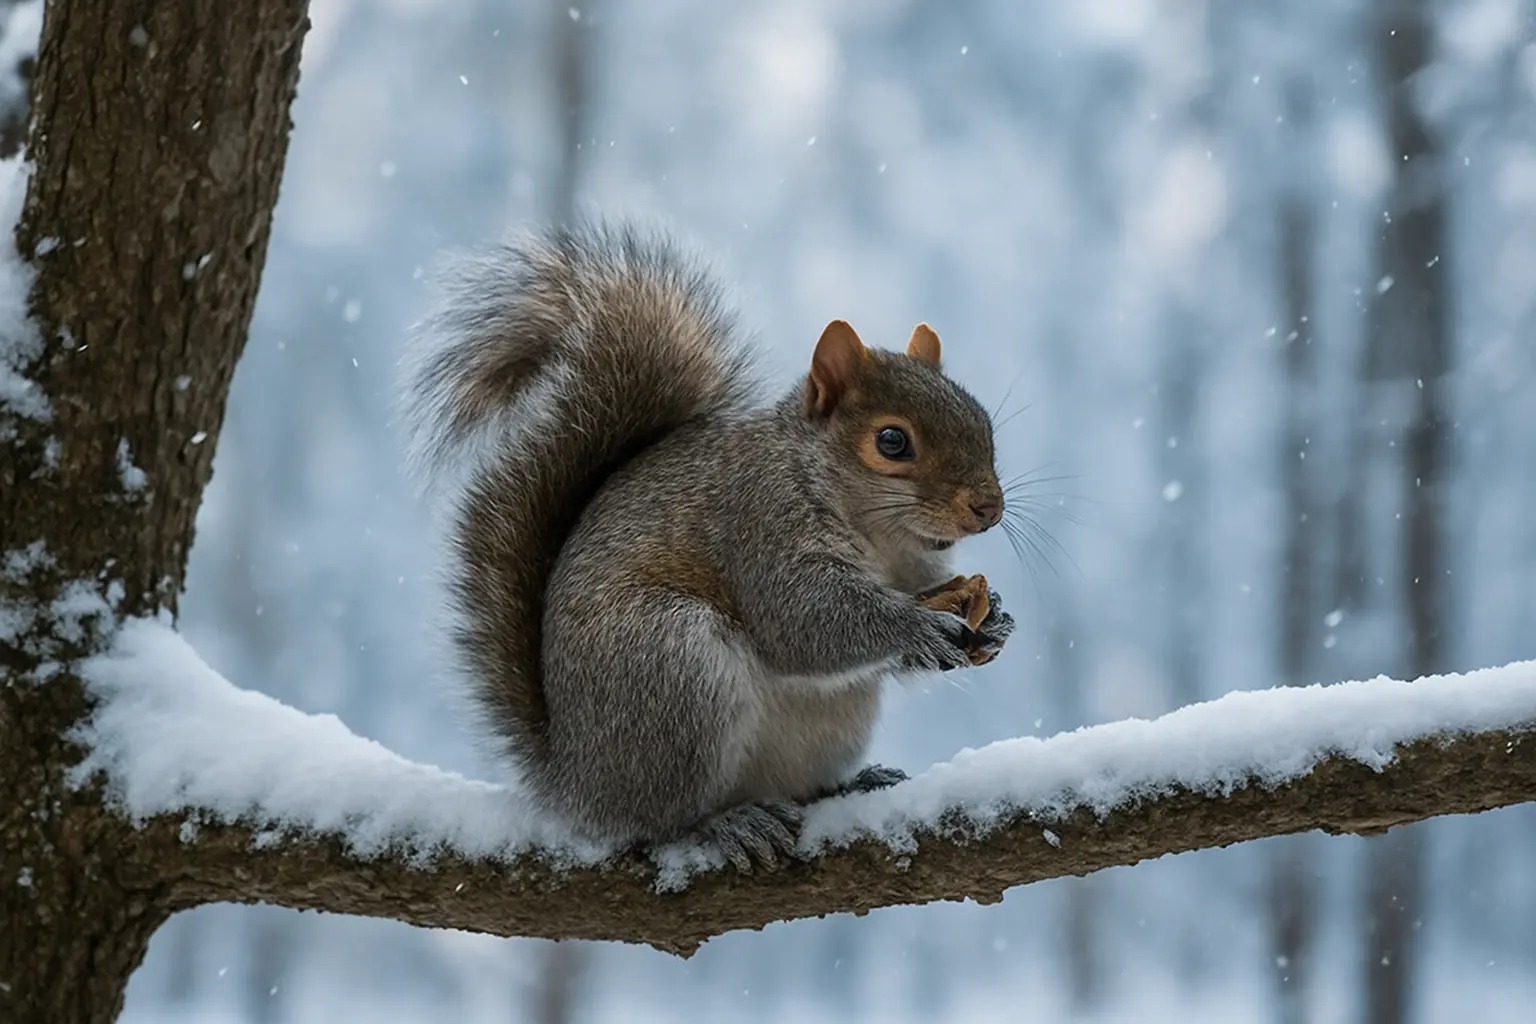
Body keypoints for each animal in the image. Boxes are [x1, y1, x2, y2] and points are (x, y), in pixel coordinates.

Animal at [400, 224, 1014, 871]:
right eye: (893, 442)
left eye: (983, 423)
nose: (989, 508)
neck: (880, 537)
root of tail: (578, 783)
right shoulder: (758, 525)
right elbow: (805, 620)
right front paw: (917, 628)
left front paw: (992, 620)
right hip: (669, 664)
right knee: (658, 822)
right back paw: (722, 825)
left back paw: (848, 785)